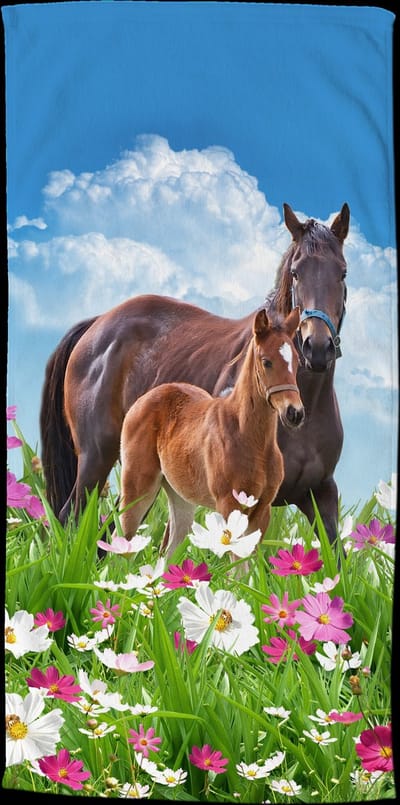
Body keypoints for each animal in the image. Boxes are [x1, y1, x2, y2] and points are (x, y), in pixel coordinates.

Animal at [119, 307, 304, 557]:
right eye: (266, 361)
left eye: (296, 361)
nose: (295, 413)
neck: (250, 439)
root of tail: (143, 399)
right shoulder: (229, 504)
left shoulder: (262, 509)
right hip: (137, 487)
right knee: (124, 545)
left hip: (181, 498)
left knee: (170, 551)